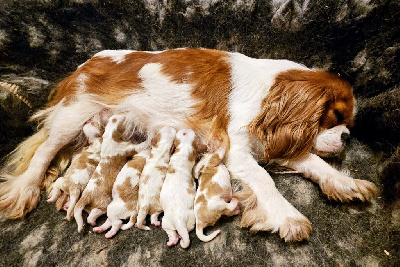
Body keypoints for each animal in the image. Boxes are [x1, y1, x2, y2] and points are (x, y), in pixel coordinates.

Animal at [0, 48, 376, 243]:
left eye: (347, 123)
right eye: (334, 116)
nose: (346, 137)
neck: (271, 91)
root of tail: (83, 65)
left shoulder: (274, 142)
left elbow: (314, 162)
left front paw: (345, 182)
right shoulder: (236, 148)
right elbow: (265, 180)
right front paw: (289, 216)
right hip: (73, 114)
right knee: (44, 152)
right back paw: (23, 190)